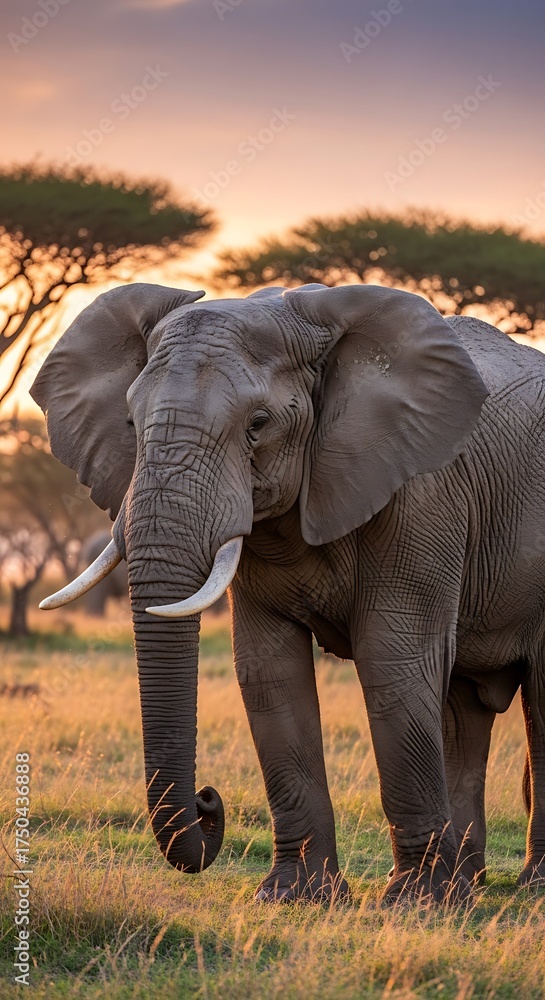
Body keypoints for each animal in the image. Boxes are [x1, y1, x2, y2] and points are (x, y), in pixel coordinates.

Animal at [31, 281, 545, 906]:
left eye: (258, 424)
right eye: (130, 422)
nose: (208, 800)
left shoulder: (425, 493)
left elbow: (392, 657)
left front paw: (416, 905)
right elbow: (269, 670)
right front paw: (296, 896)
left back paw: (522, 887)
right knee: (463, 706)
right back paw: (467, 887)